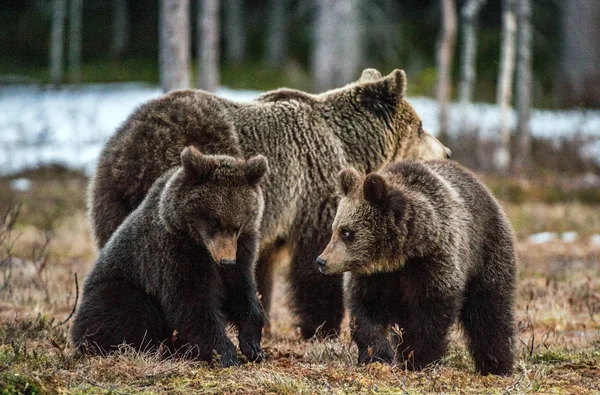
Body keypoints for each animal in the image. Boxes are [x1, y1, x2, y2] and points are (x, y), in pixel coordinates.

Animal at [72, 148, 268, 368]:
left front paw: (253, 346)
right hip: (117, 288)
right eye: (214, 223)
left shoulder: (242, 250)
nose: (226, 260)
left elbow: (242, 290)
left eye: (237, 225)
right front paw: (226, 354)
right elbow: (192, 304)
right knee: (125, 311)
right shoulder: (174, 254)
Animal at [85, 69, 450, 340]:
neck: (351, 146)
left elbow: (258, 268)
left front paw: (263, 323)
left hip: (108, 196)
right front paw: (323, 327)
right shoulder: (313, 192)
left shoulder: (268, 218)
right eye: (421, 126)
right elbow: (315, 264)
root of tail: (133, 151)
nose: (447, 152)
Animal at [316, 159, 516, 376]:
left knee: (489, 313)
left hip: (486, 253)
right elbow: (365, 310)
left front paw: (420, 359)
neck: (399, 257)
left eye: (347, 232)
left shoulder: (432, 262)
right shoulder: (375, 277)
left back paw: (497, 365)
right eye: (334, 229)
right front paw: (378, 355)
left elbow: (430, 314)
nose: (321, 261)